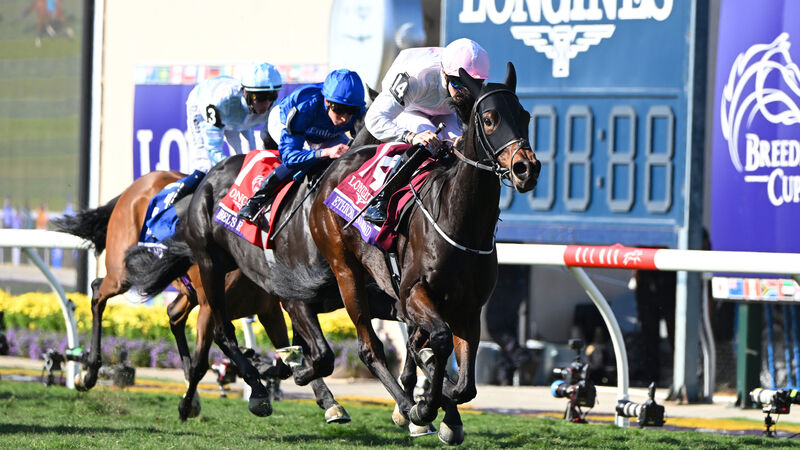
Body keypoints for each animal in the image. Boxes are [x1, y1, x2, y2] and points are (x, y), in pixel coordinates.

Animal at [52, 170, 351, 423]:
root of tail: (134, 188)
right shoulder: (210, 307)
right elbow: (203, 363)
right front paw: (188, 405)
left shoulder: (269, 310)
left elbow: (288, 359)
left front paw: (328, 402)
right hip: (123, 271)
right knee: (97, 292)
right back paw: (89, 372)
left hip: (183, 290)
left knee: (173, 314)